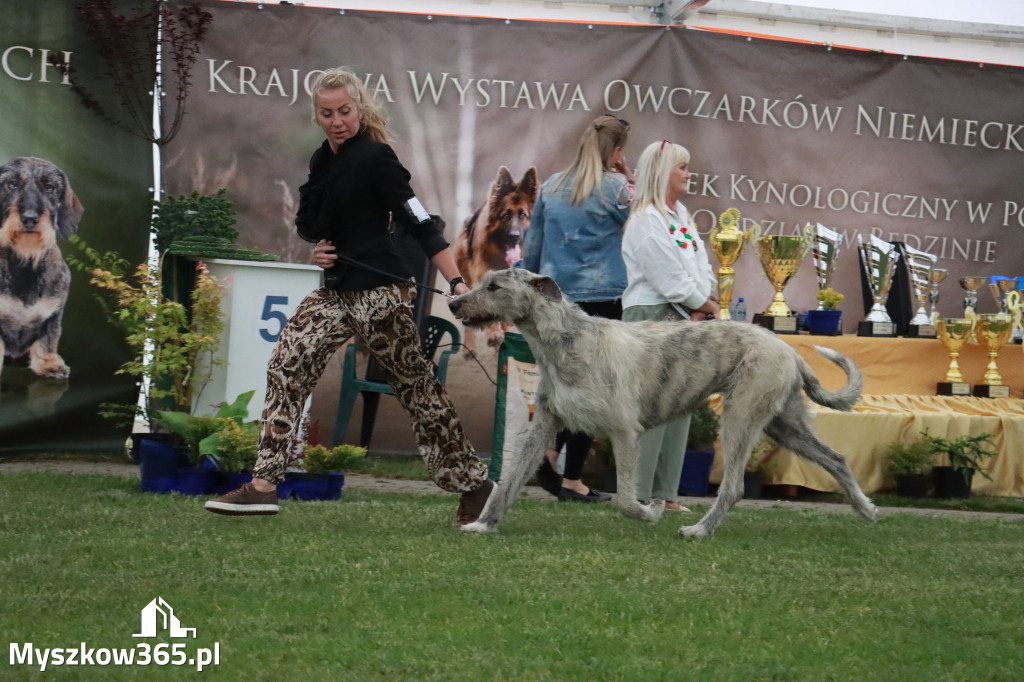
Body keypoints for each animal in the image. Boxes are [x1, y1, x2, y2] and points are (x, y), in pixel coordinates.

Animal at [450, 266, 880, 536]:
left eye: (495, 287)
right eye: (483, 281)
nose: (454, 304)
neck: (567, 340)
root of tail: (788, 349)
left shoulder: (625, 431)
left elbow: (625, 498)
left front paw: (651, 511)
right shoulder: (544, 425)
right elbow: (508, 483)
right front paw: (482, 524)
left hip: (741, 416)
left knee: (734, 487)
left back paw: (699, 531)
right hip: (784, 424)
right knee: (837, 459)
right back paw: (866, 509)